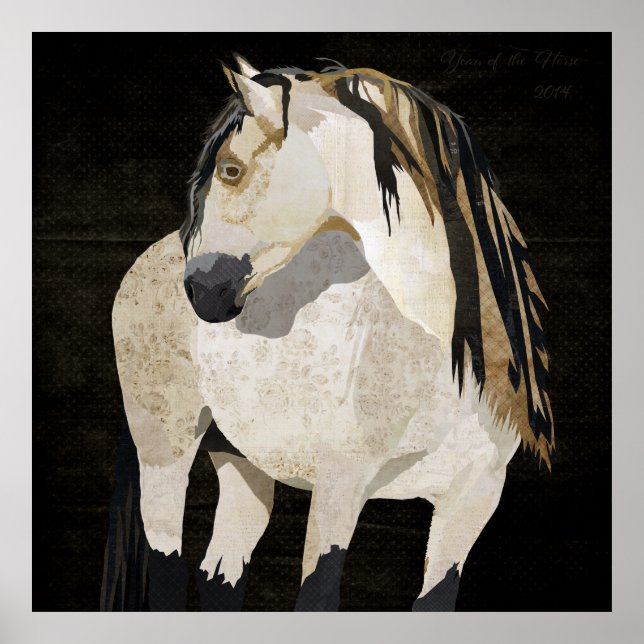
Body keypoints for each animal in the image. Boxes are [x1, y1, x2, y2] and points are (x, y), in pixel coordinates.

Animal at [107, 54, 553, 612]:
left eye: (230, 169)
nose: (201, 290)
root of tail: (153, 254)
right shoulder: (339, 488)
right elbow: (317, 595)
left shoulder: (472, 502)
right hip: (164, 450)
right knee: (167, 564)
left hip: (241, 461)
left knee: (219, 575)